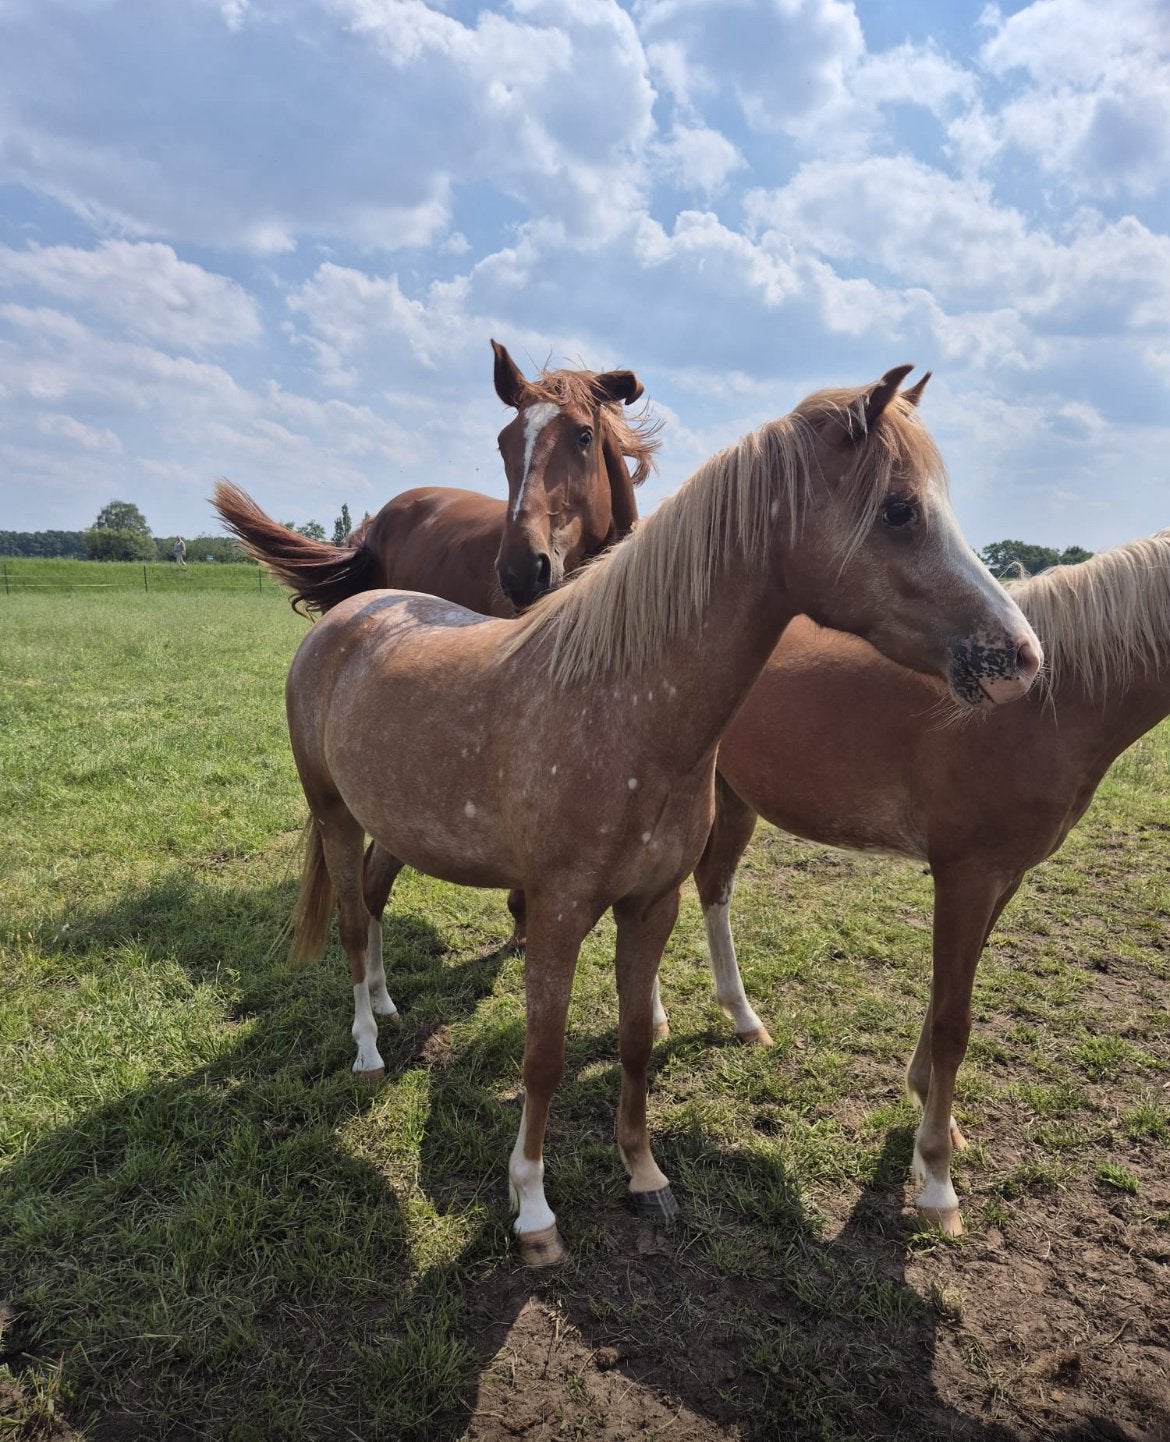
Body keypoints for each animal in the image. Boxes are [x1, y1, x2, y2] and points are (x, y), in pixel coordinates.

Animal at [280, 363, 1043, 1265]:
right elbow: (543, 1059)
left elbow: (636, 1040)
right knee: (351, 920)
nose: (1021, 657)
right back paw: (367, 1044)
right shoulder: (559, 911)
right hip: (334, 814)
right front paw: (533, 1210)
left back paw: (389, 1003)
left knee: (372, 901)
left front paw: (644, 1176)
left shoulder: (653, 904)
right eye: (897, 509)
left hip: (393, 825)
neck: (623, 707)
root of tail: (344, 618)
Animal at [674, 530, 1170, 1238]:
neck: (1051, 704)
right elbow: (954, 1023)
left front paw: (928, 1106)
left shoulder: (1002, 879)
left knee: (710, 886)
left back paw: (741, 1019)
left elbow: (941, 1003)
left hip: (733, 797)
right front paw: (937, 1179)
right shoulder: (967, 876)